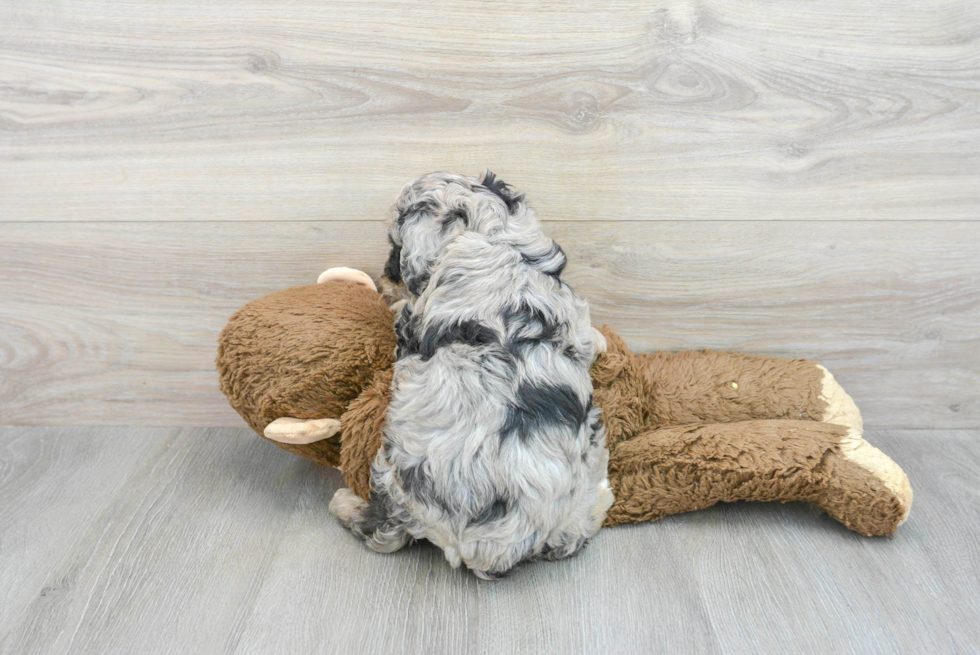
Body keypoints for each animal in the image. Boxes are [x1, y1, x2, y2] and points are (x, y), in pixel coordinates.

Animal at [334, 170, 616, 580]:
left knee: (385, 534)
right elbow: (590, 336)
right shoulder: (576, 319)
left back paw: (345, 504)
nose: (385, 274)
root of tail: (493, 545)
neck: (492, 235)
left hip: (393, 479)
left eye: (394, 243)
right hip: (581, 498)